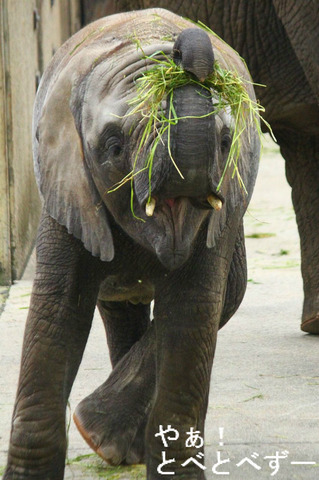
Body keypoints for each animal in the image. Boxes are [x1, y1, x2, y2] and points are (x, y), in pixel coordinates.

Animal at [3, 7, 262, 480]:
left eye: (225, 142)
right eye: (114, 147)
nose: (181, 49)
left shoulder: (222, 215)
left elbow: (193, 311)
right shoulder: (67, 187)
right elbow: (57, 312)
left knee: (227, 294)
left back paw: (107, 440)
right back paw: (110, 444)